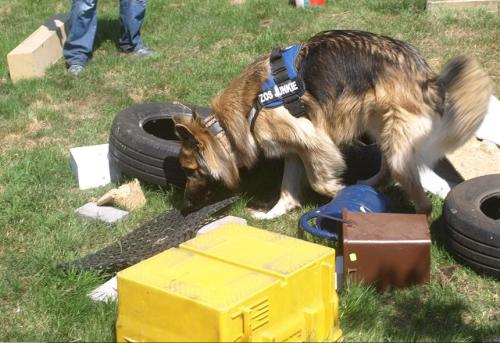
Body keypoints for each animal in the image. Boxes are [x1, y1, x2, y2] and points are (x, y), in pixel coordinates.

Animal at [173, 28, 492, 218]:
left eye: (190, 171)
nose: (185, 208)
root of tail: (427, 75)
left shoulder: (314, 141)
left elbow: (319, 182)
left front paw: (342, 194)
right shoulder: (295, 150)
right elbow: (287, 190)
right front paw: (273, 213)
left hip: (396, 139)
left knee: (415, 191)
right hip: (379, 128)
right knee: (387, 170)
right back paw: (372, 185)